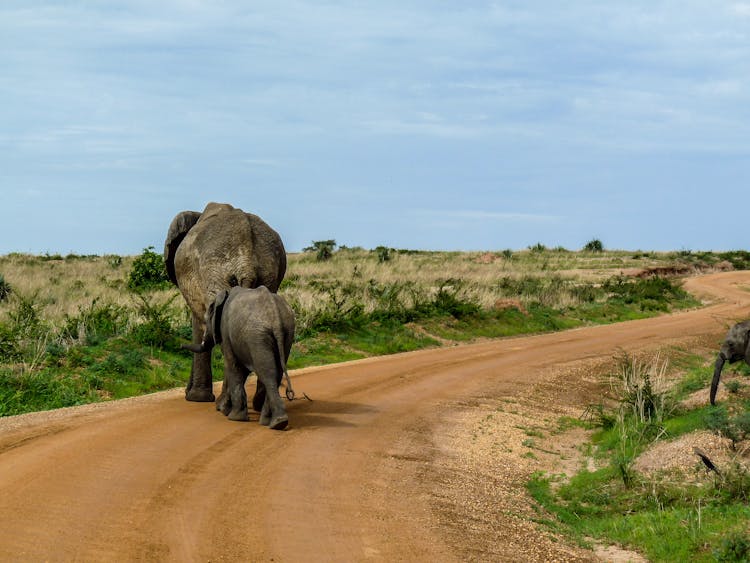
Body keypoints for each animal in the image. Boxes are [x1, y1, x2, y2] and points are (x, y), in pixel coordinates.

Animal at [165, 204, 288, 406]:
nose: (185, 391)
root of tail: (247, 263)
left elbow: (199, 325)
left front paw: (196, 398)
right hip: (267, 274)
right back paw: (258, 403)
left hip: (216, 271)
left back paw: (225, 404)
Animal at [185, 288, 296, 430]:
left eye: (206, 319)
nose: (181, 345)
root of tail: (275, 316)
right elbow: (242, 371)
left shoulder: (226, 332)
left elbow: (233, 366)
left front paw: (234, 418)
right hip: (287, 333)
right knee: (277, 373)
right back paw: (272, 422)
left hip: (257, 336)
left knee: (267, 373)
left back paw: (277, 422)